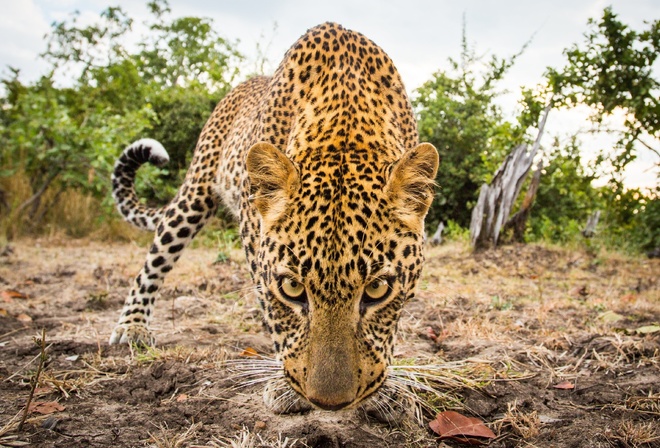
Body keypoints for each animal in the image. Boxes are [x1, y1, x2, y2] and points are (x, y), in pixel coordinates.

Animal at [108, 21, 438, 412]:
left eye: (377, 290)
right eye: (292, 288)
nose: (329, 404)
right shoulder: (255, 236)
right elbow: (274, 315)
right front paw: (284, 387)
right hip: (193, 195)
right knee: (155, 260)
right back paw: (132, 327)